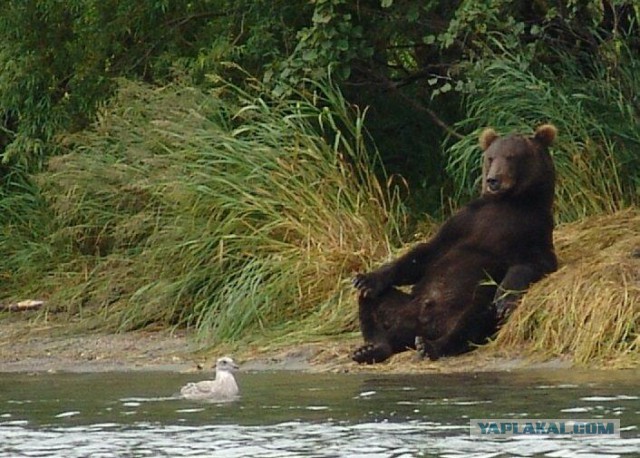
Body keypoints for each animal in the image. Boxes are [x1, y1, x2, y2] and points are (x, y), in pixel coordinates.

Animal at [352, 123, 556, 364]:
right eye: (490, 157)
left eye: (512, 156)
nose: (493, 180)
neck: (509, 202)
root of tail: (422, 325)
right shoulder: (466, 221)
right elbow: (425, 254)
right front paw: (366, 279)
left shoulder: (533, 229)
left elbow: (533, 263)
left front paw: (505, 301)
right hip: (405, 306)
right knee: (373, 303)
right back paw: (372, 347)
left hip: (464, 305)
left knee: (472, 319)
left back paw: (430, 346)